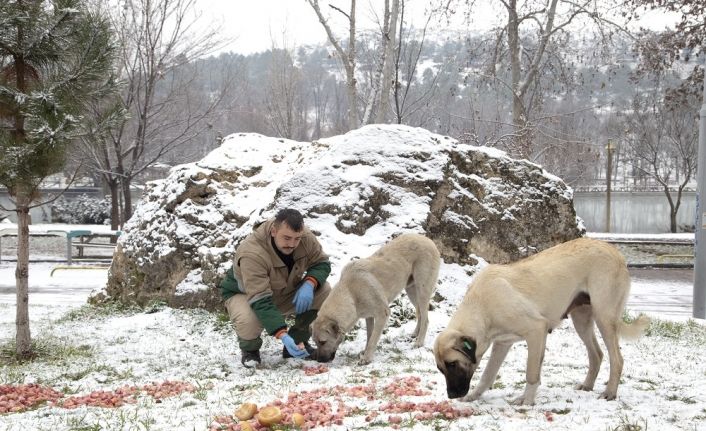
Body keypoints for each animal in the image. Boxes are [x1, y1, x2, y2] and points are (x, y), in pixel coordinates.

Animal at [310, 235, 438, 366]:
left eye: (323, 342)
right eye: (315, 342)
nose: (319, 360)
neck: (351, 293)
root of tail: (427, 239)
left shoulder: (382, 314)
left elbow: (373, 339)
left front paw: (366, 358)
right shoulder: (369, 316)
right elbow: (369, 335)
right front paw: (365, 351)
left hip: (422, 291)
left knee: (426, 318)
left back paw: (419, 342)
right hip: (411, 291)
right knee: (420, 313)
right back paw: (415, 334)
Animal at [434, 238, 648, 406]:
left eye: (452, 364)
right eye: (440, 369)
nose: (451, 395)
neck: (481, 308)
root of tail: (614, 251)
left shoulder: (536, 331)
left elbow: (531, 373)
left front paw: (527, 401)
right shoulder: (502, 344)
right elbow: (488, 375)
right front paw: (474, 396)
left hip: (604, 317)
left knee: (617, 359)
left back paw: (610, 393)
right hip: (582, 320)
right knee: (597, 354)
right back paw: (588, 385)